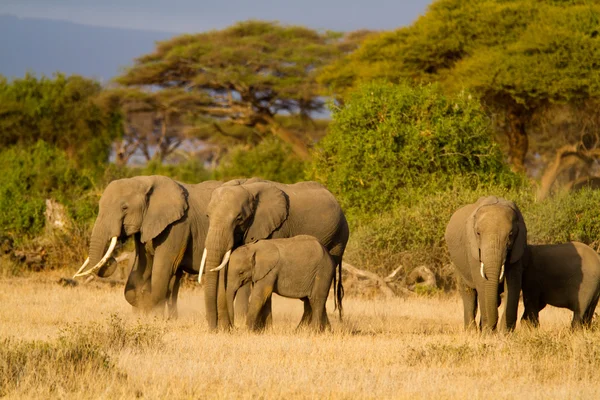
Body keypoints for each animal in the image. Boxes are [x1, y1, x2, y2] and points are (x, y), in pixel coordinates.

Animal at [72, 175, 227, 318]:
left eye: (124, 208)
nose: (111, 260)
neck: (144, 181)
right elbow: (142, 267)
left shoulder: (178, 226)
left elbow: (163, 270)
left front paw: (153, 314)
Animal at [199, 179, 350, 332]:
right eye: (208, 216)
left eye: (239, 218)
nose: (215, 328)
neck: (248, 188)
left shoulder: (277, 226)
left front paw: (264, 329)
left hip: (339, 239)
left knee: (317, 295)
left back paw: (310, 330)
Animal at [446, 196, 524, 332]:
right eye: (478, 233)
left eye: (510, 235)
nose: (492, 327)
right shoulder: (472, 248)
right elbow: (482, 283)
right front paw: (489, 333)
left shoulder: (517, 247)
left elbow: (513, 283)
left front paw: (505, 333)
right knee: (468, 293)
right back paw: (472, 331)